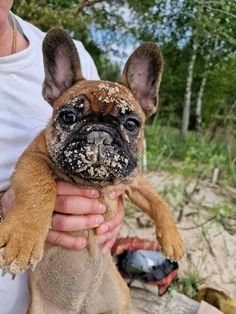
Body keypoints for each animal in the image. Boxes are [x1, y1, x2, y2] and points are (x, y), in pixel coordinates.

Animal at [0, 28, 184, 312]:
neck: (95, 183)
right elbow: (41, 188)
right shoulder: (33, 159)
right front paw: (23, 239)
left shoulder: (134, 180)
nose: (100, 134)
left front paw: (173, 240)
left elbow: (159, 201)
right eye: (68, 117)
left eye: (131, 123)